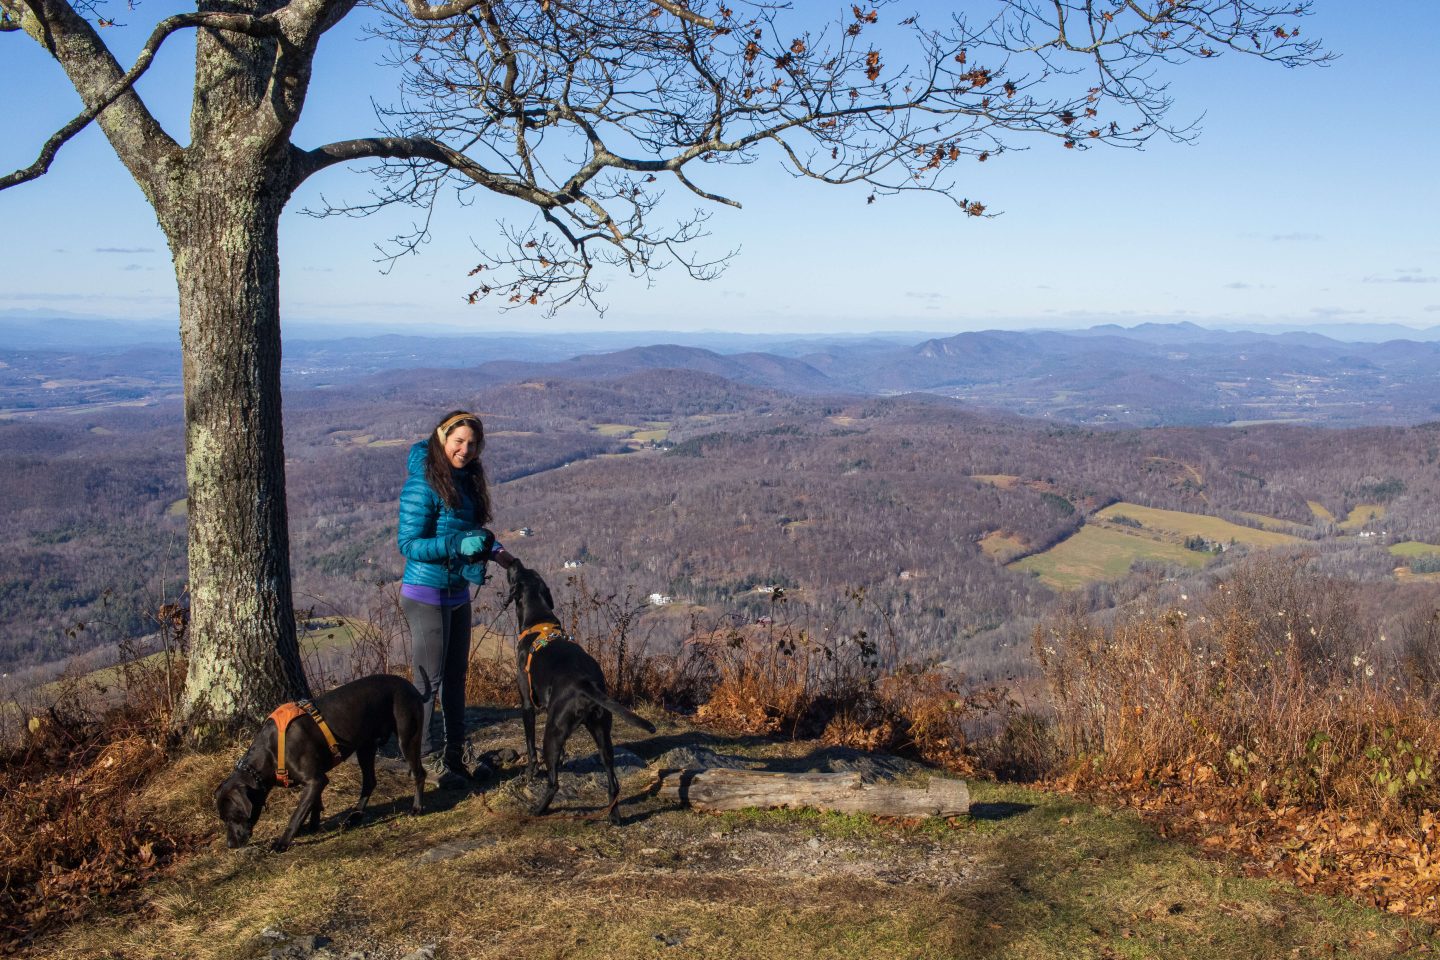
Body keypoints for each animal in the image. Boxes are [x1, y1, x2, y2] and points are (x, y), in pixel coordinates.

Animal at [213, 673, 426, 852]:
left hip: (407, 738)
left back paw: (416, 808)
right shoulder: (314, 781)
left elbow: (297, 814)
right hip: (365, 747)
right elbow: (313, 805)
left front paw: (282, 843)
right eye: (222, 819)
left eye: (233, 816)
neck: (270, 752)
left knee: (419, 773)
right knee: (369, 782)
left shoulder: (315, 780)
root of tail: (410, 686)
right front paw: (313, 825)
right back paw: (355, 816)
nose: (230, 845)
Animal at [506, 564, 659, 829]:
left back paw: (538, 809)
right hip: (602, 733)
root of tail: (586, 684)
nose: (514, 561)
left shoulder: (527, 704)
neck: (538, 620)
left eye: (518, 572)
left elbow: (530, 747)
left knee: (554, 783)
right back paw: (614, 816)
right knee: (613, 783)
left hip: (553, 732)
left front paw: (529, 774)